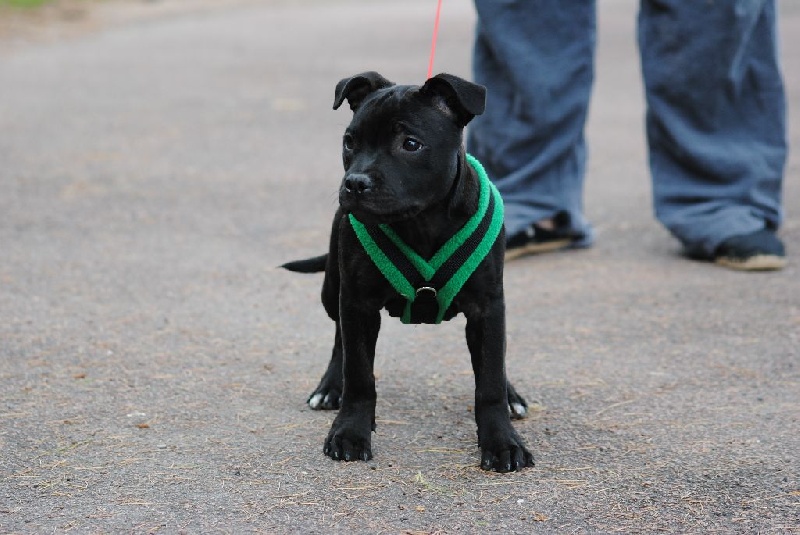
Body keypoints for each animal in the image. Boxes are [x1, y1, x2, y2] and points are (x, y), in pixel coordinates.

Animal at [282, 71, 534, 472]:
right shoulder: (358, 302)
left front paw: (501, 441)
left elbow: (490, 379)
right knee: (340, 340)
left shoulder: (488, 307)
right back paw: (330, 387)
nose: (354, 182)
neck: (421, 222)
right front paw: (350, 433)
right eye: (349, 141)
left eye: (410, 144)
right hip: (333, 289)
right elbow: (359, 375)